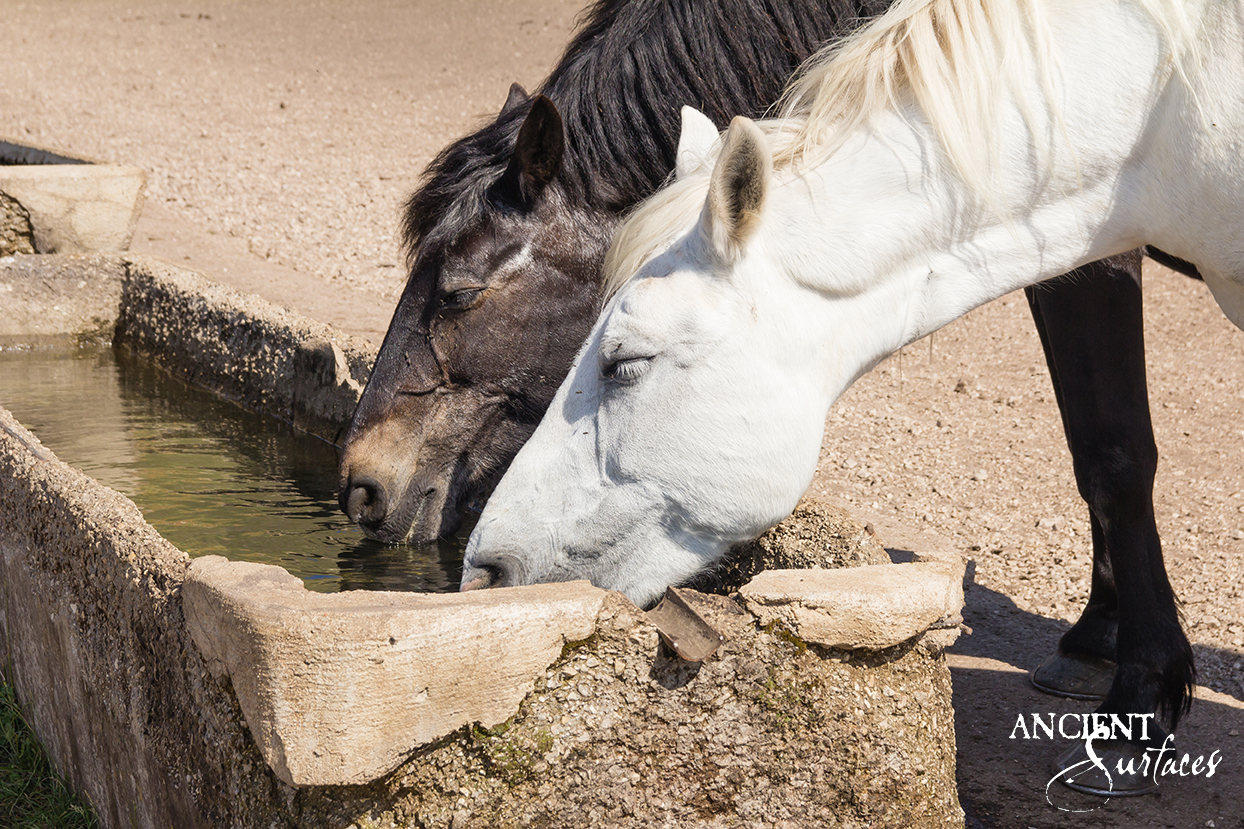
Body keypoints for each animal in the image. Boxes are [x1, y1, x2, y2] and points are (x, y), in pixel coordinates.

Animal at [340, 0, 1191, 727]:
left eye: (459, 292)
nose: (358, 485)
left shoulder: (1096, 252)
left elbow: (1110, 451)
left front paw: (1141, 671)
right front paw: (1101, 634)